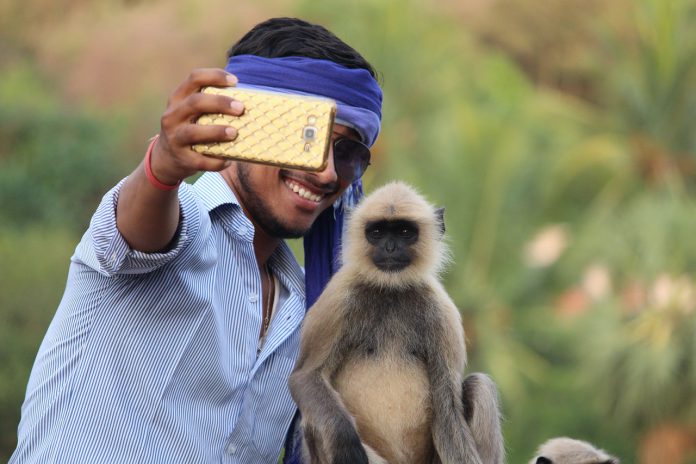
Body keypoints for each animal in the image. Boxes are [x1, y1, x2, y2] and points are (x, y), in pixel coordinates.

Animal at [288, 181, 505, 464]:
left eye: (404, 232)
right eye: (377, 232)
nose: (390, 248)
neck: (391, 290)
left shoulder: (442, 314)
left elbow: (447, 411)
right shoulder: (337, 299)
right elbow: (305, 377)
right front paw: (345, 442)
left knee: (479, 385)